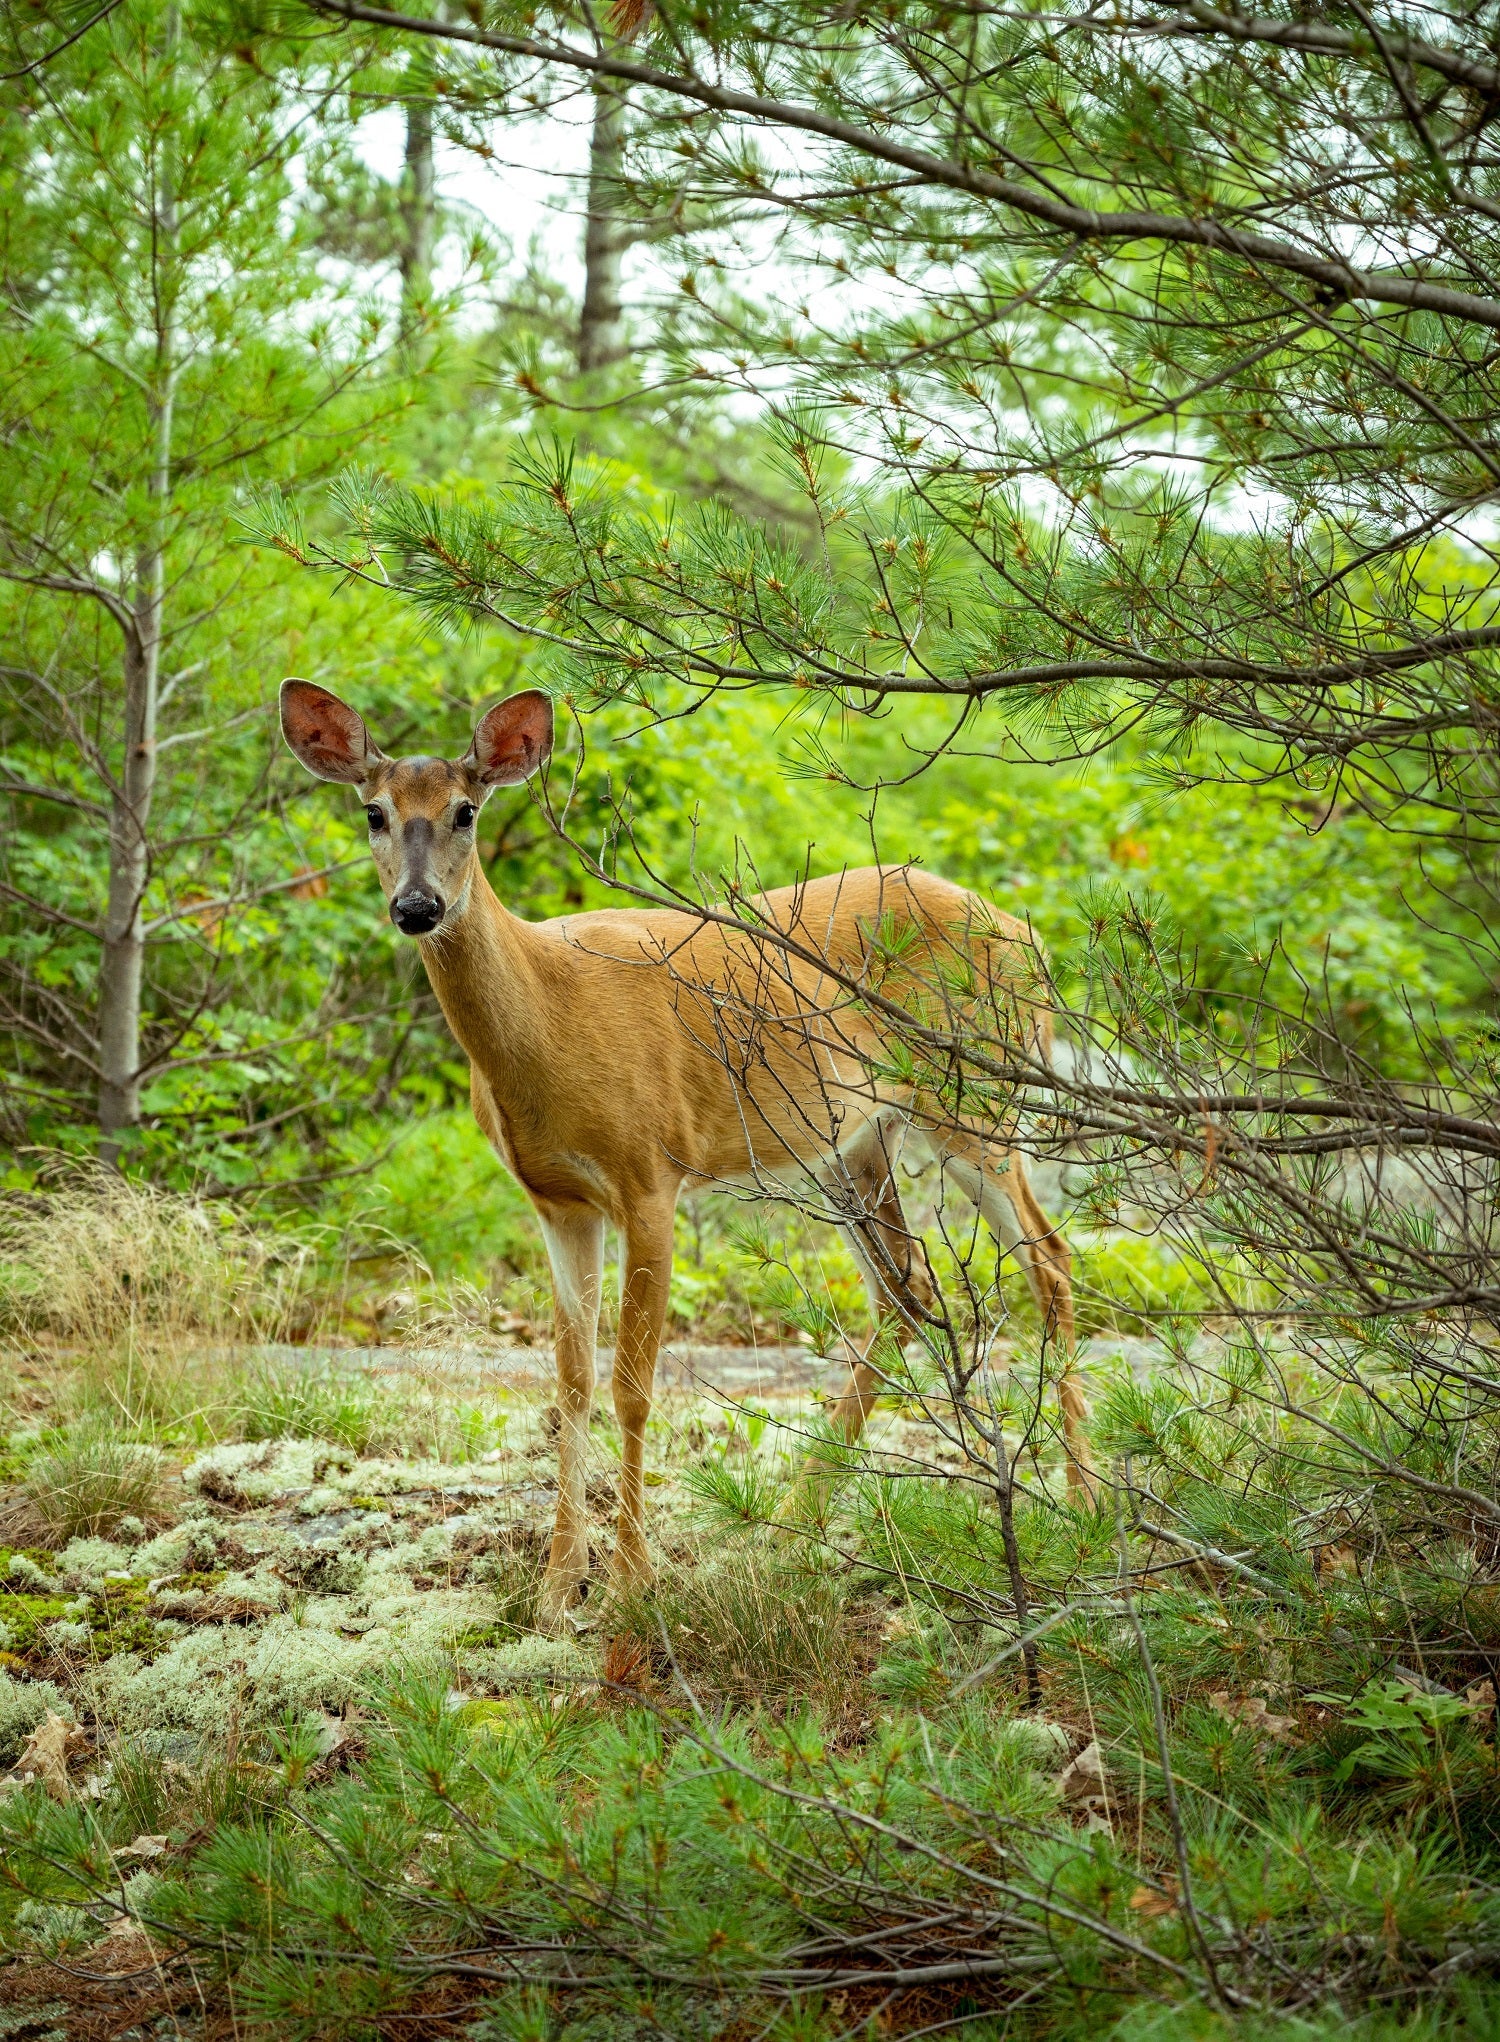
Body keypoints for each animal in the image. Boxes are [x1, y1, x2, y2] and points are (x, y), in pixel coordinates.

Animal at [279, 679, 1096, 1633]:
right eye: (372, 811)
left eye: (466, 811)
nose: (417, 908)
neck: (546, 1026)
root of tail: (1030, 938)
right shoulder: (556, 1201)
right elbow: (569, 1384)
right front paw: (556, 1590)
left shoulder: (650, 1173)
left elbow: (633, 1383)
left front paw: (631, 1582)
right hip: (852, 1140)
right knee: (911, 1287)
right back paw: (789, 1523)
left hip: (973, 1098)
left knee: (1049, 1260)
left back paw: (1084, 1502)